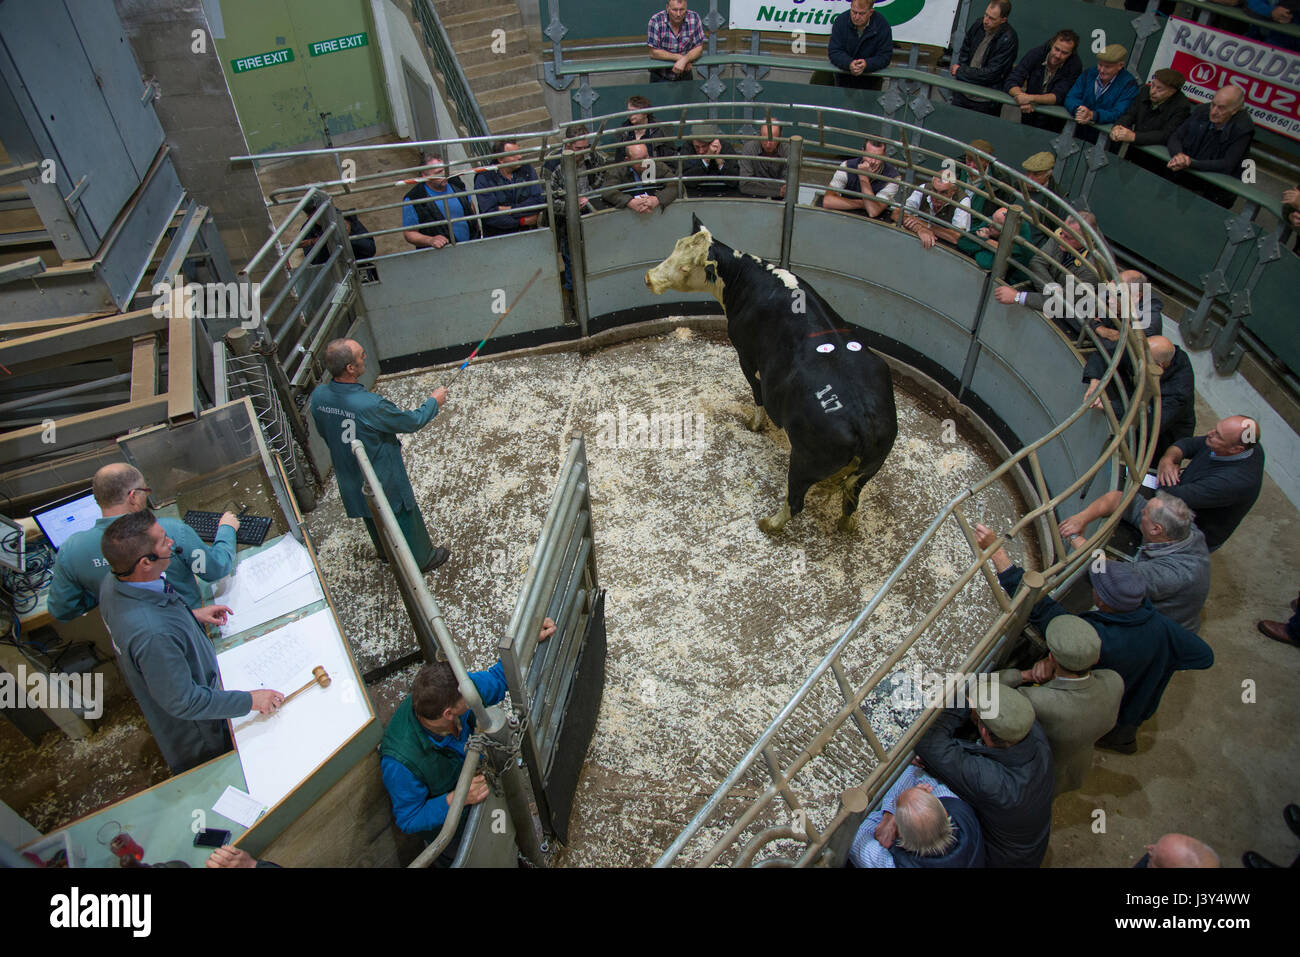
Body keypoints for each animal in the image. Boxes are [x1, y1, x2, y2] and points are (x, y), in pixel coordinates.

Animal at [647, 214, 899, 530]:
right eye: (674, 249)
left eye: (685, 266)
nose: (649, 278)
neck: (749, 280)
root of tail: (864, 420)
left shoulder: (746, 355)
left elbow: (757, 395)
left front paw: (755, 424)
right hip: (866, 472)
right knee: (851, 502)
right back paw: (844, 526)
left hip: (803, 463)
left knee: (796, 502)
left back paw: (769, 524)